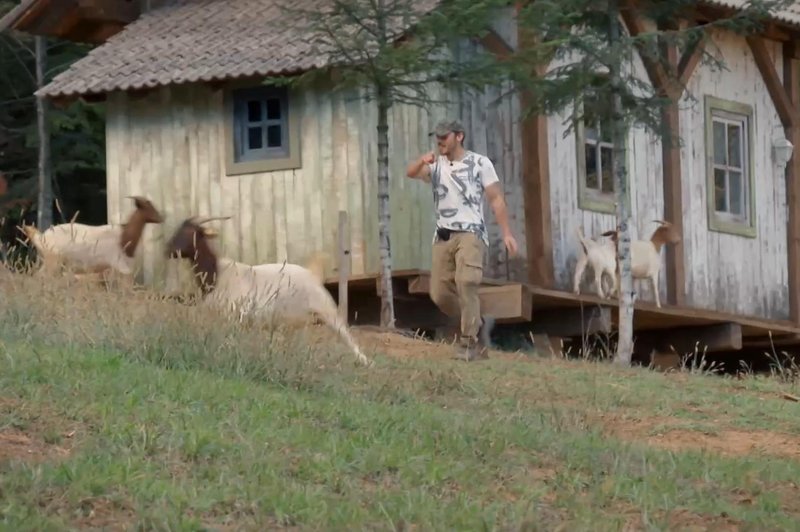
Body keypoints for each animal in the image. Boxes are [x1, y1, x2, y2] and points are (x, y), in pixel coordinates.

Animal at [21, 193, 163, 280]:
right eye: (148, 207)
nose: (161, 218)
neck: (124, 236)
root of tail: (41, 237)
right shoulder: (119, 264)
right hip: (53, 261)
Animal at [167, 215, 374, 366]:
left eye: (190, 231)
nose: (167, 250)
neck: (218, 272)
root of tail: (313, 274)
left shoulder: (236, 315)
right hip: (293, 320)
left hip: (326, 309)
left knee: (346, 335)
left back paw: (365, 362)